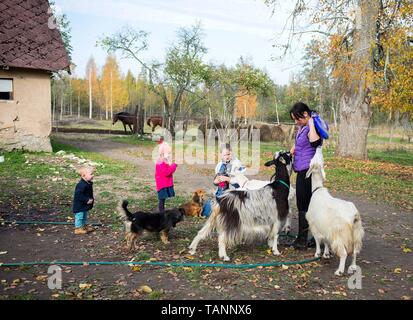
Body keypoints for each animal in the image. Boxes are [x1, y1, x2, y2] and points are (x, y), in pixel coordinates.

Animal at [304, 148, 362, 276]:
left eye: (313, 160)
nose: (318, 147)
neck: (317, 190)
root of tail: (354, 216)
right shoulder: (325, 228)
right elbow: (325, 241)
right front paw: (326, 254)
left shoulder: (314, 225)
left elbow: (317, 240)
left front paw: (317, 253)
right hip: (356, 234)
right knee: (355, 251)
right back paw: (353, 267)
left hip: (340, 234)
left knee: (344, 253)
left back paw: (339, 271)